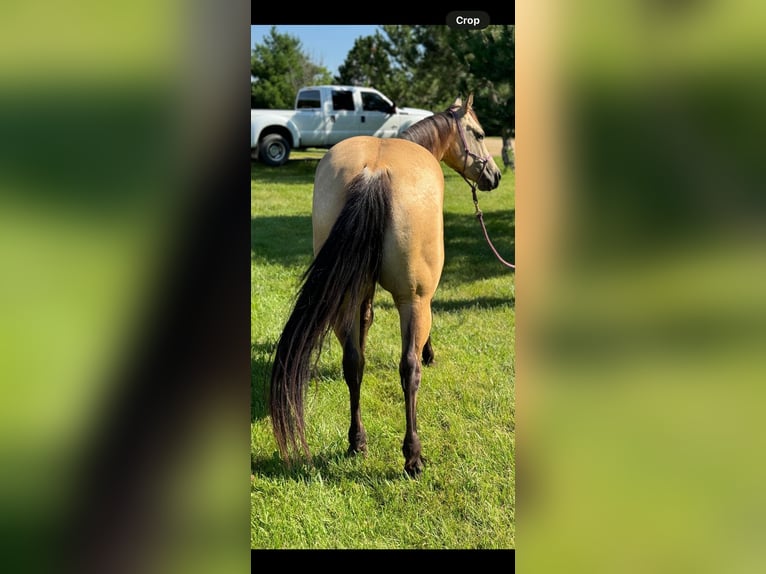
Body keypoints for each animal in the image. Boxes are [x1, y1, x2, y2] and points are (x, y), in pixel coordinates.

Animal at [270, 94, 504, 480]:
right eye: (480, 133)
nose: (495, 176)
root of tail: (374, 172)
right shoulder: (422, 296)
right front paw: (430, 352)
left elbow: (362, 335)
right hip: (412, 299)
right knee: (408, 370)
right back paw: (413, 456)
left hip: (345, 295)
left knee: (353, 362)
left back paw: (356, 441)